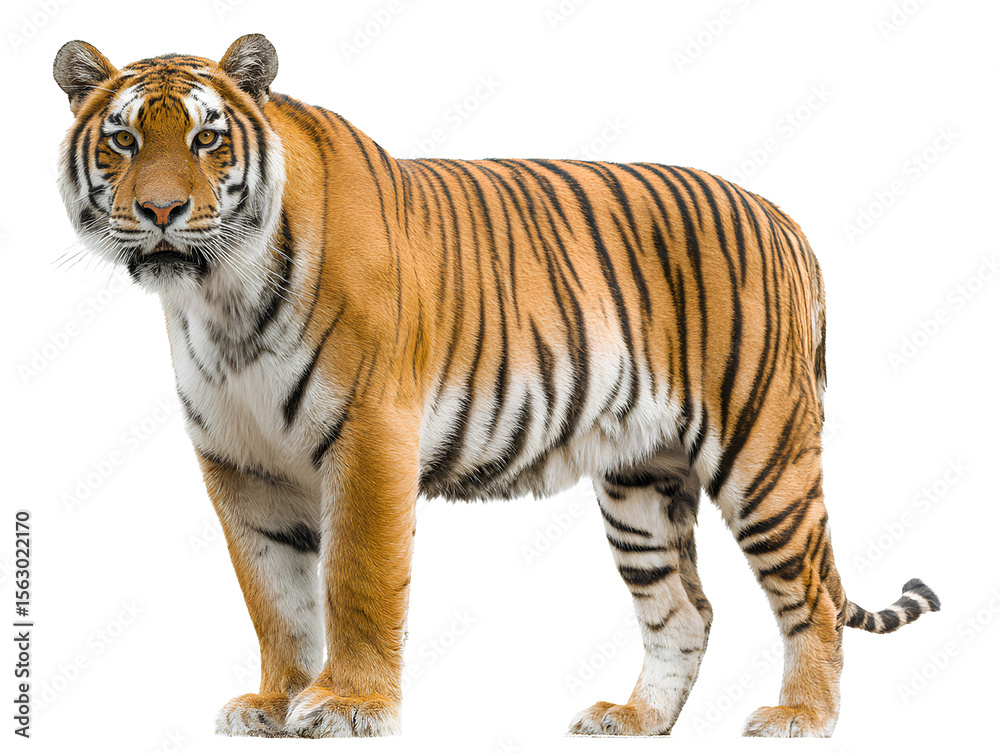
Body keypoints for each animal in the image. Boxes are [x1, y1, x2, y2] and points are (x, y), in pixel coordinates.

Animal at [54, 34, 940, 739]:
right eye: (123, 139)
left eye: (207, 138)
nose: (161, 211)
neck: (218, 297)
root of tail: (783, 218)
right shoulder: (241, 462)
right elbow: (273, 594)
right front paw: (276, 702)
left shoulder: (370, 433)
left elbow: (355, 579)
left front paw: (349, 705)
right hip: (642, 481)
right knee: (685, 609)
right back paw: (635, 719)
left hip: (763, 452)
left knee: (812, 596)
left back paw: (802, 717)